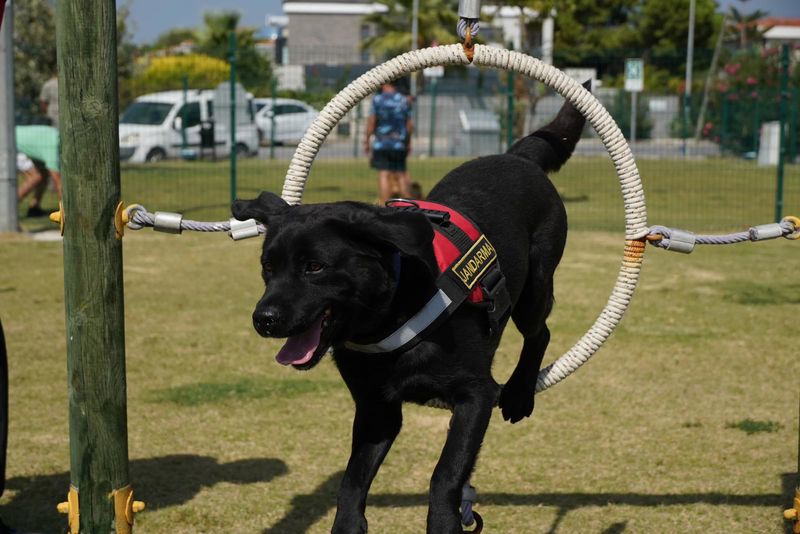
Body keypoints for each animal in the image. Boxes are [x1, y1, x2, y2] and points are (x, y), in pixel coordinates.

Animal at [234, 94, 584, 532]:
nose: (262, 319)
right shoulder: (377, 409)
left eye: (314, 267)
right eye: (268, 266)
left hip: (535, 286)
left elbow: (447, 473)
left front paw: (444, 520)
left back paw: (520, 393)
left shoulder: (476, 396)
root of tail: (517, 156)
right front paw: (348, 523)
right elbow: (351, 481)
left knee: (540, 333)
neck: (392, 319)